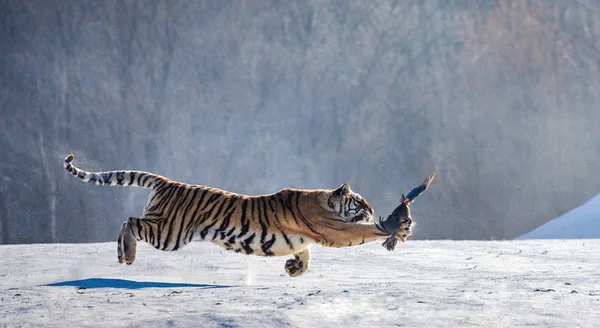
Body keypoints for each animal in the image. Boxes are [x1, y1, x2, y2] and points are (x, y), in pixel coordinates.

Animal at [62, 154, 408, 276]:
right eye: (361, 204)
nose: (372, 210)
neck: (325, 201)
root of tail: (167, 182)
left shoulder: (304, 240)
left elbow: (305, 254)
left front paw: (294, 268)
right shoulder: (335, 231)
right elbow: (362, 232)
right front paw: (393, 225)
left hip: (166, 230)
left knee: (130, 221)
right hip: (169, 233)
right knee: (130, 222)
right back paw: (127, 255)